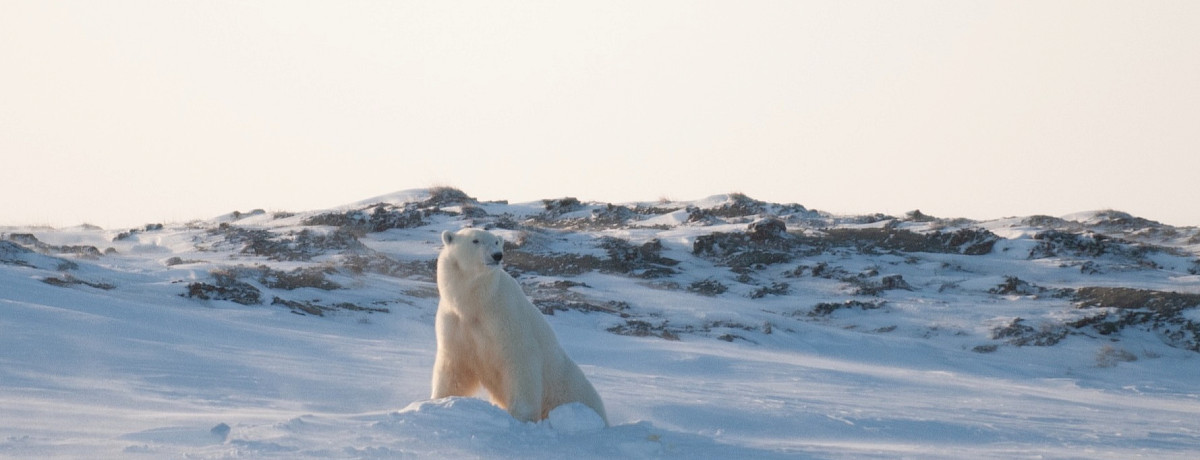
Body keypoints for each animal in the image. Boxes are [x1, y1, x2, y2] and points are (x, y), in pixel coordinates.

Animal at [430, 228, 608, 425]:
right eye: (475, 240)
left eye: (496, 242)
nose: (497, 255)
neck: (477, 304)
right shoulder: (456, 323)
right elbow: (455, 368)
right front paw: (439, 401)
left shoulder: (506, 318)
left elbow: (520, 362)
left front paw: (521, 417)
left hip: (569, 391)